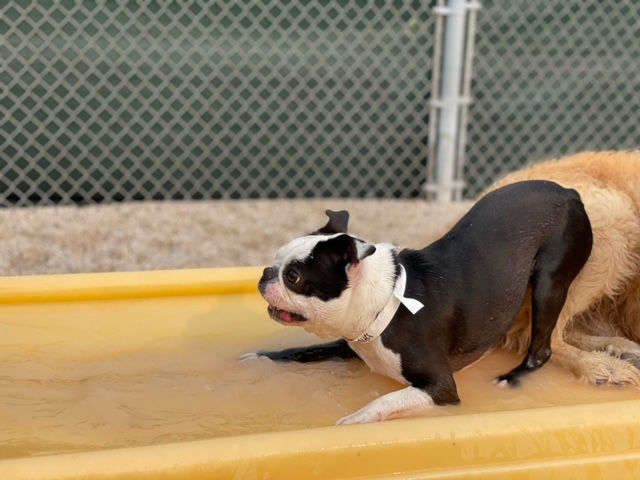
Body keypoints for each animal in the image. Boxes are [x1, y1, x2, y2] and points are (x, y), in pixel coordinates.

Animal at [245, 182, 592, 426]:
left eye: (293, 277)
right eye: (276, 259)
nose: (266, 273)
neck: (385, 301)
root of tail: (569, 191)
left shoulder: (441, 388)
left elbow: (386, 400)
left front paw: (357, 419)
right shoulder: (350, 343)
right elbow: (300, 352)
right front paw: (261, 357)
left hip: (548, 285)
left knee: (542, 349)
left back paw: (512, 377)